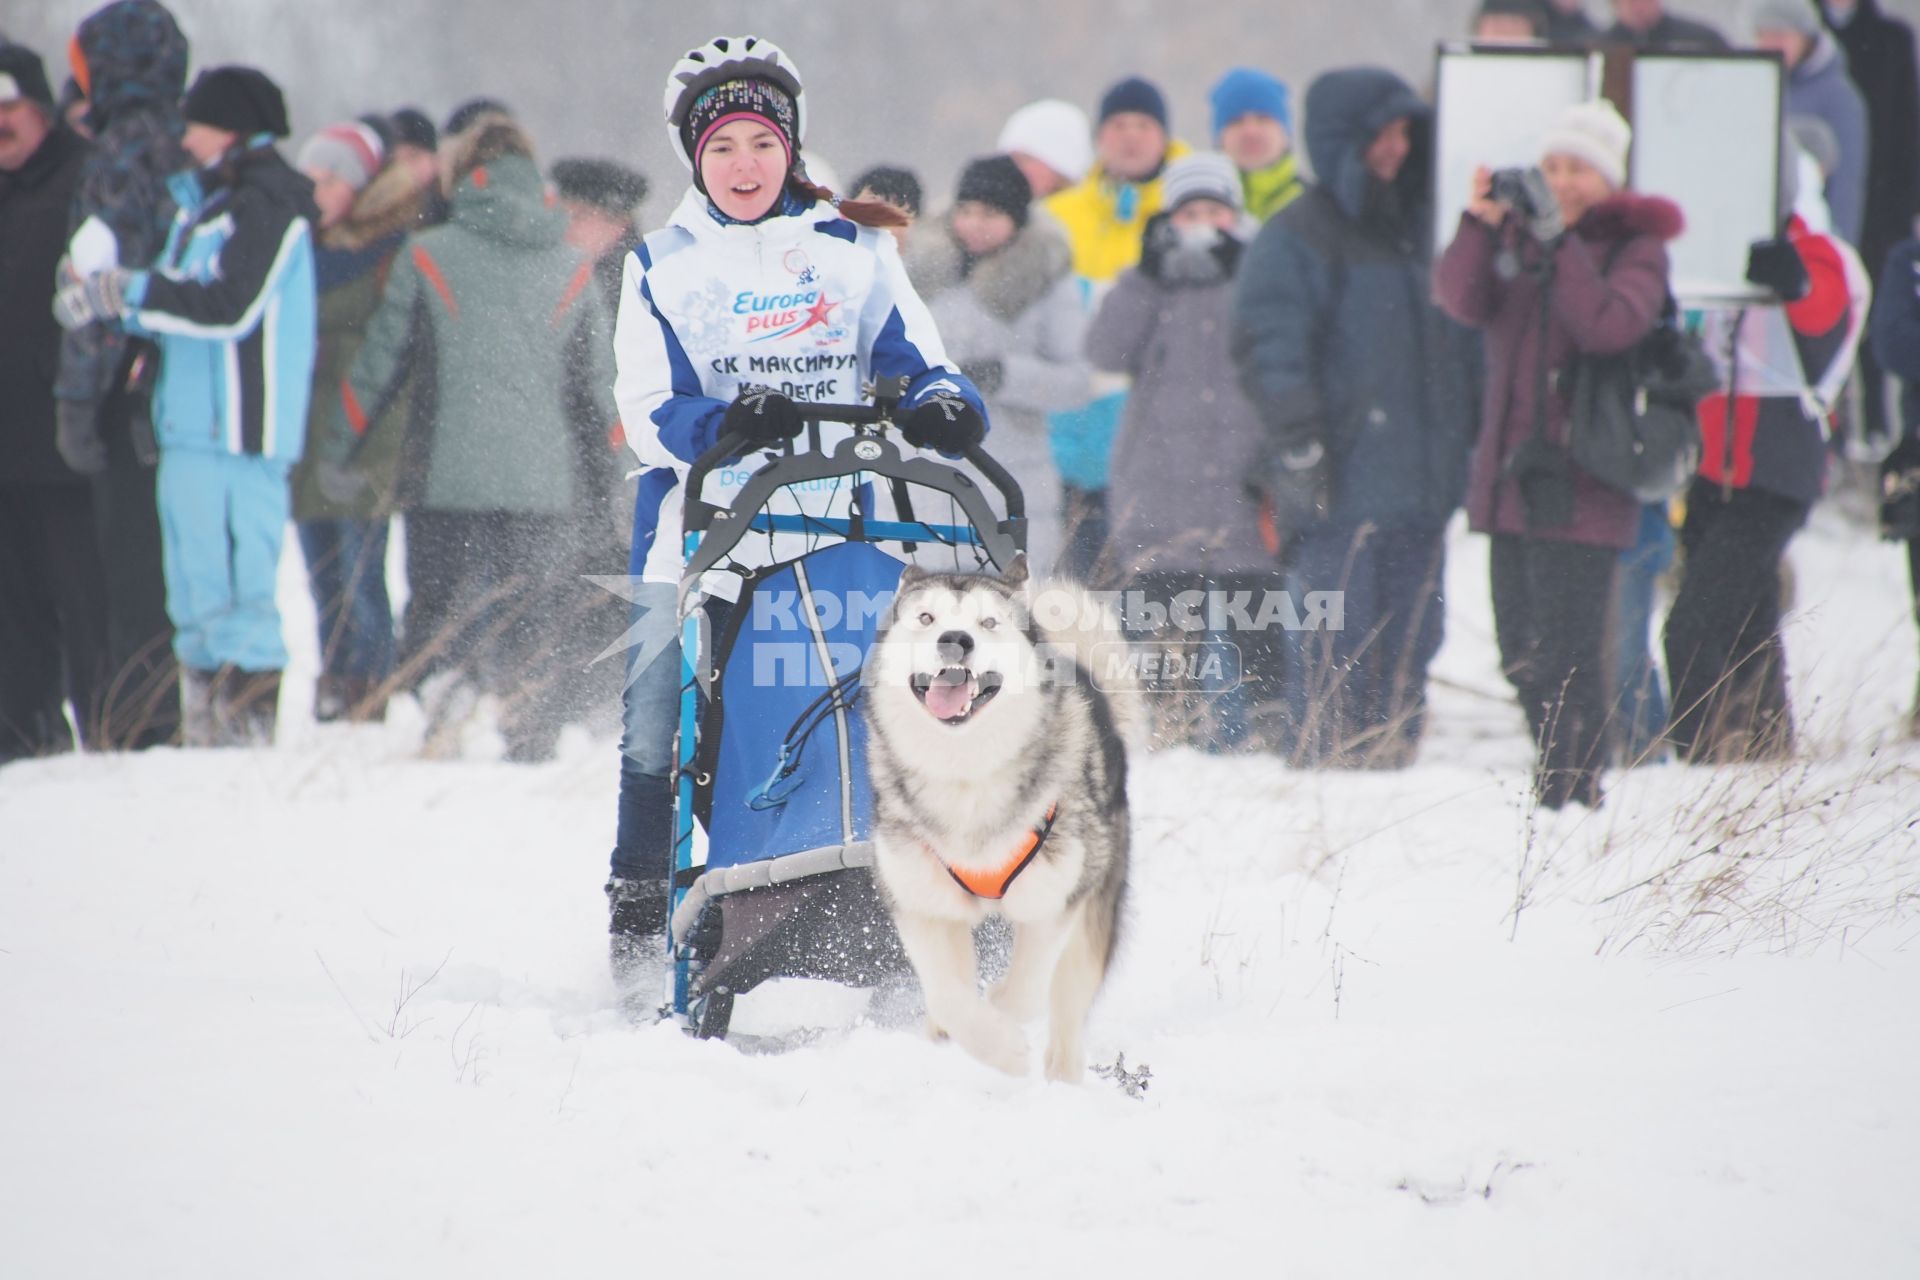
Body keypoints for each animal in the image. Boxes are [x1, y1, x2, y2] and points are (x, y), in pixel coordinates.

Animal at [867, 556, 1128, 1082]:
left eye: (988, 622)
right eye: (926, 618)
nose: (955, 639)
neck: (965, 773)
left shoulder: (1056, 899)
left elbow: (1025, 992)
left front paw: (1003, 1020)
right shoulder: (919, 902)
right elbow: (949, 995)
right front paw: (994, 1044)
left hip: (1091, 915)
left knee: (1066, 1010)